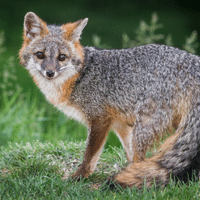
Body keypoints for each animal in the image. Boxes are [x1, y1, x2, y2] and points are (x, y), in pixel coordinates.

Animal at [19, 11, 200, 188]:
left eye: (61, 57)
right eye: (40, 55)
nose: (50, 73)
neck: (80, 75)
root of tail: (193, 63)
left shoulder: (100, 119)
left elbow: (90, 156)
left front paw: (79, 177)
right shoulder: (121, 125)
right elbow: (129, 155)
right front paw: (128, 173)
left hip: (144, 128)